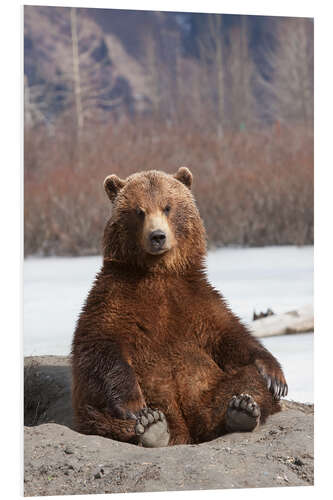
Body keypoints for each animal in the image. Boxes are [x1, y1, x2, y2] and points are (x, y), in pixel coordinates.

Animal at [71, 167, 286, 446]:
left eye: (167, 207)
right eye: (139, 210)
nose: (157, 236)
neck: (158, 272)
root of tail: (187, 430)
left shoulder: (196, 301)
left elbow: (232, 336)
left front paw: (275, 377)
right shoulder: (113, 297)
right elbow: (99, 345)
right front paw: (134, 405)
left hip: (208, 387)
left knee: (246, 382)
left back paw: (242, 410)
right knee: (98, 414)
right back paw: (152, 427)